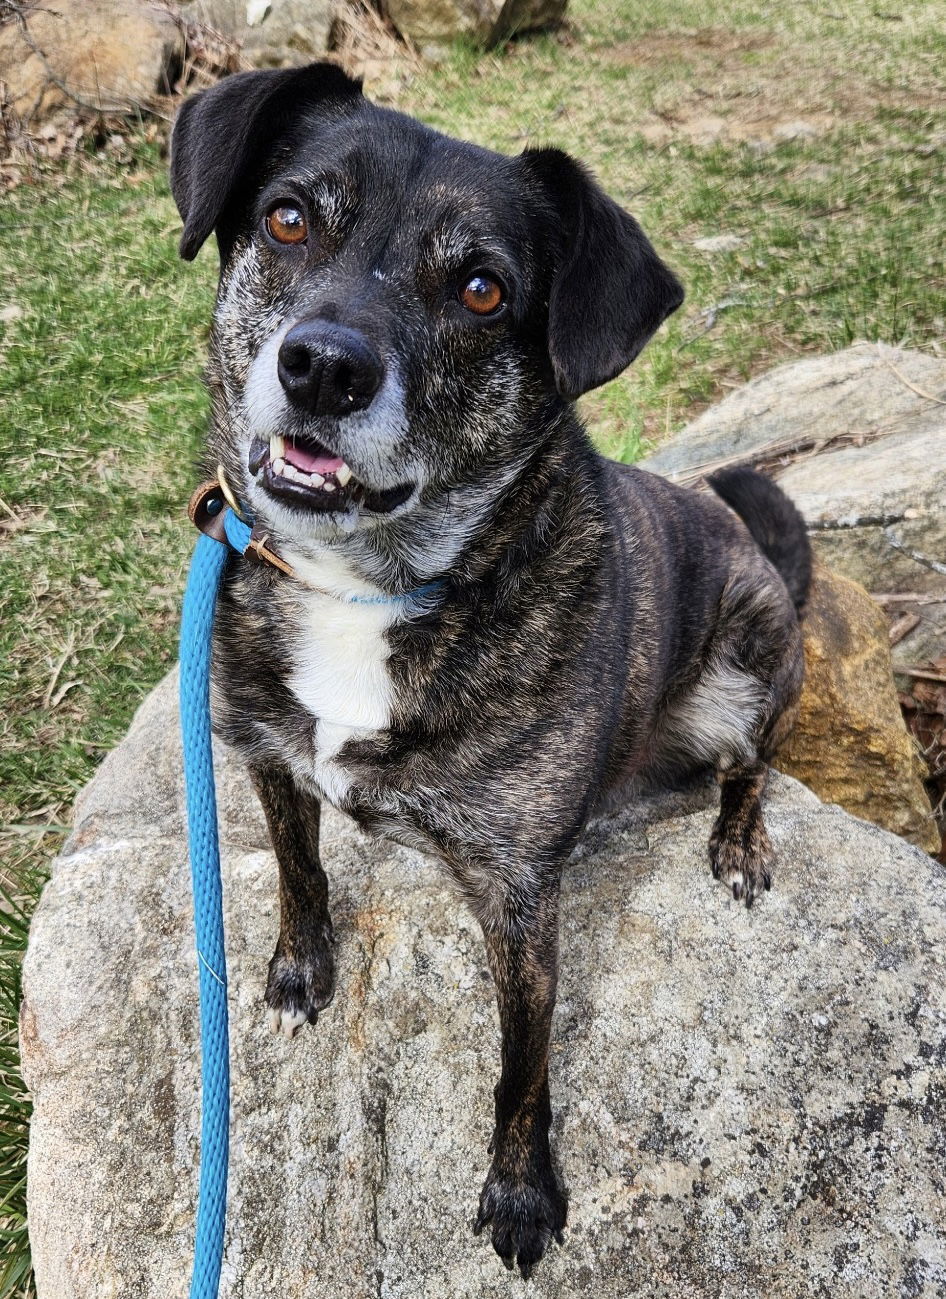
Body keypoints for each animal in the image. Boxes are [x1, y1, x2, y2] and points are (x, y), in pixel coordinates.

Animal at [170, 63, 810, 1278]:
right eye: (287, 219)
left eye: (479, 289)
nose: (323, 367)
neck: (369, 589)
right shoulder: (265, 755)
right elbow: (299, 869)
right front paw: (298, 970)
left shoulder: (519, 901)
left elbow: (523, 1064)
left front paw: (520, 1192)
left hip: (752, 659)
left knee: (752, 762)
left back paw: (738, 842)